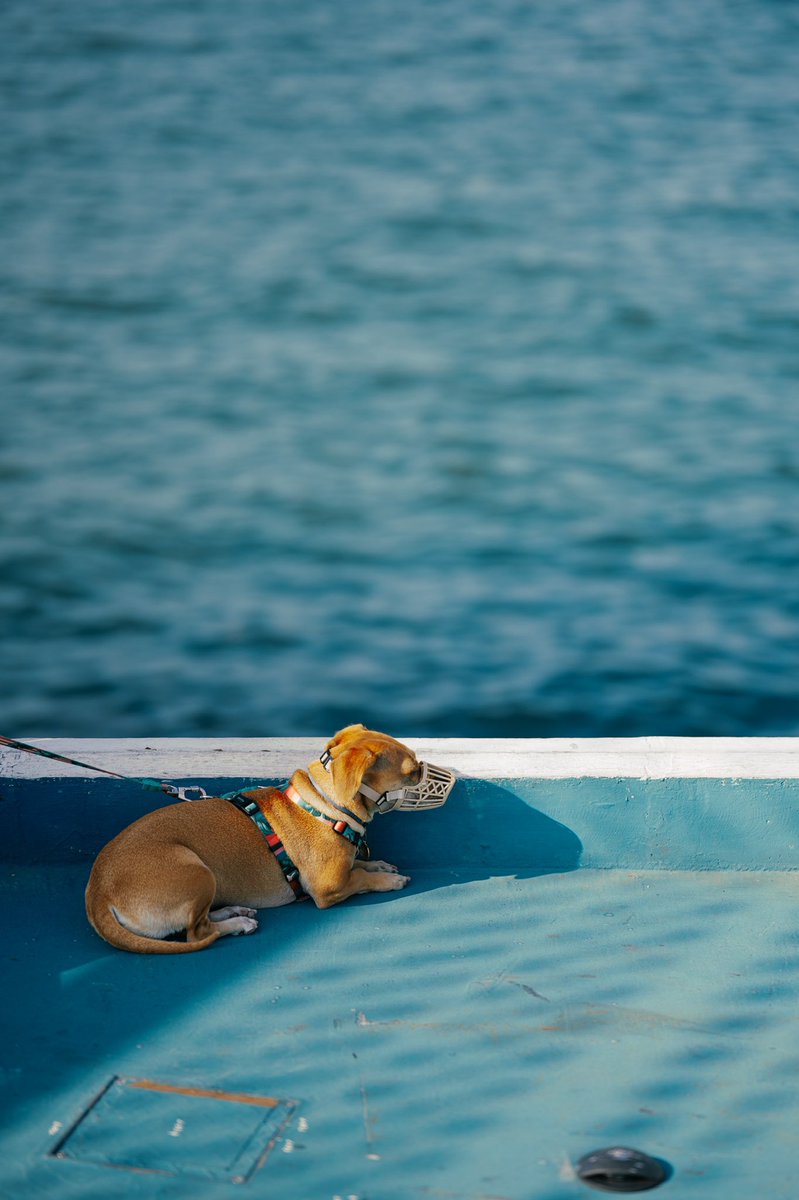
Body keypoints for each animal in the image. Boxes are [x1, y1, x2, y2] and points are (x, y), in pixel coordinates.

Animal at [86, 720, 453, 955]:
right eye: (411, 771)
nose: (431, 769)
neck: (324, 804)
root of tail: (97, 893)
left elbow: (362, 865)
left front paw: (379, 865)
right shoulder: (328, 888)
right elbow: (361, 878)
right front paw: (389, 881)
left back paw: (233, 911)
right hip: (196, 870)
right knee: (195, 933)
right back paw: (238, 924)